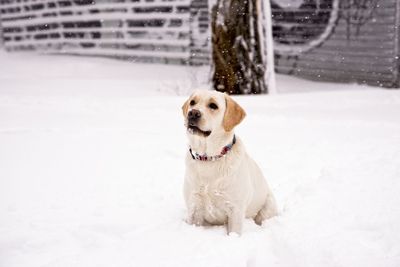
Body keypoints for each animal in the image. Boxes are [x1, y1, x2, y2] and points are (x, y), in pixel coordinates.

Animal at [183, 90, 276, 237]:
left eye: (213, 105)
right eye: (192, 102)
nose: (192, 113)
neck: (209, 158)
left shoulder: (235, 209)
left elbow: (234, 233)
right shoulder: (194, 206)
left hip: (268, 206)